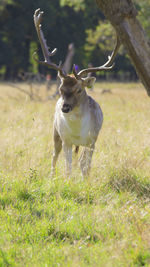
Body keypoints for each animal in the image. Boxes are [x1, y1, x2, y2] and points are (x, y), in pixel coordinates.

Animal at [33, 8, 120, 179]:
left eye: (79, 89)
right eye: (60, 88)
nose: (65, 108)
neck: (78, 131)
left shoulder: (92, 139)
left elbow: (86, 165)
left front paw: (86, 182)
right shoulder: (66, 139)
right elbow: (68, 167)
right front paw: (67, 181)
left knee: (80, 162)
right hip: (55, 131)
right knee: (54, 155)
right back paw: (52, 177)